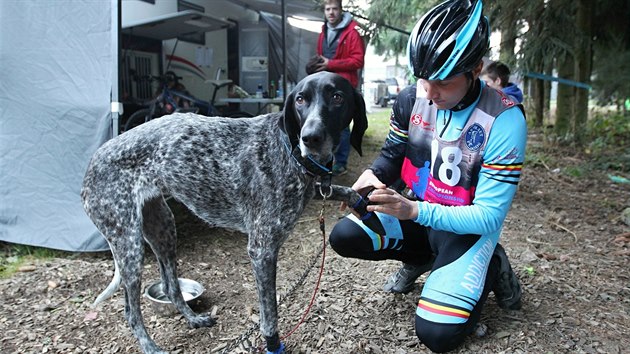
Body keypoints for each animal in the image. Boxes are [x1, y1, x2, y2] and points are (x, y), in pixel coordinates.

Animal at [81, 72, 368, 354]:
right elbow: (270, 317)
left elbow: (340, 190)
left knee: (171, 287)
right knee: (131, 312)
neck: (289, 150)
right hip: (130, 246)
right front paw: (273, 344)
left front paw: (360, 199)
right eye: (300, 99)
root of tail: (93, 160)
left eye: (337, 97)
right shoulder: (262, 251)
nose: (310, 138)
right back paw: (151, 347)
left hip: (163, 230)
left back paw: (193, 319)